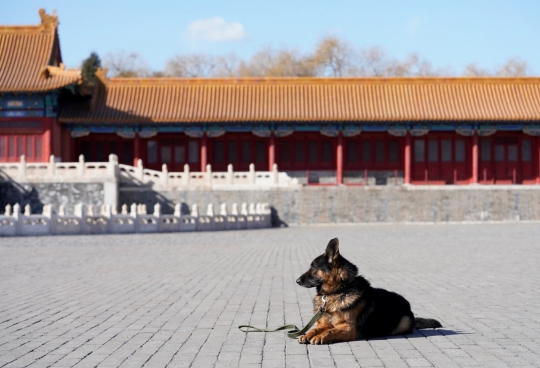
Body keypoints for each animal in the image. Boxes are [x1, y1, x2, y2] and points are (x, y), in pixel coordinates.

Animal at [296, 237, 442, 344]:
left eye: (313, 268)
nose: (297, 281)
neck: (339, 290)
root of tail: (408, 305)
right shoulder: (323, 324)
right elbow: (314, 330)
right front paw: (308, 334)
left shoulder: (348, 328)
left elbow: (330, 331)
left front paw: (320, 336)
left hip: (403, 323)